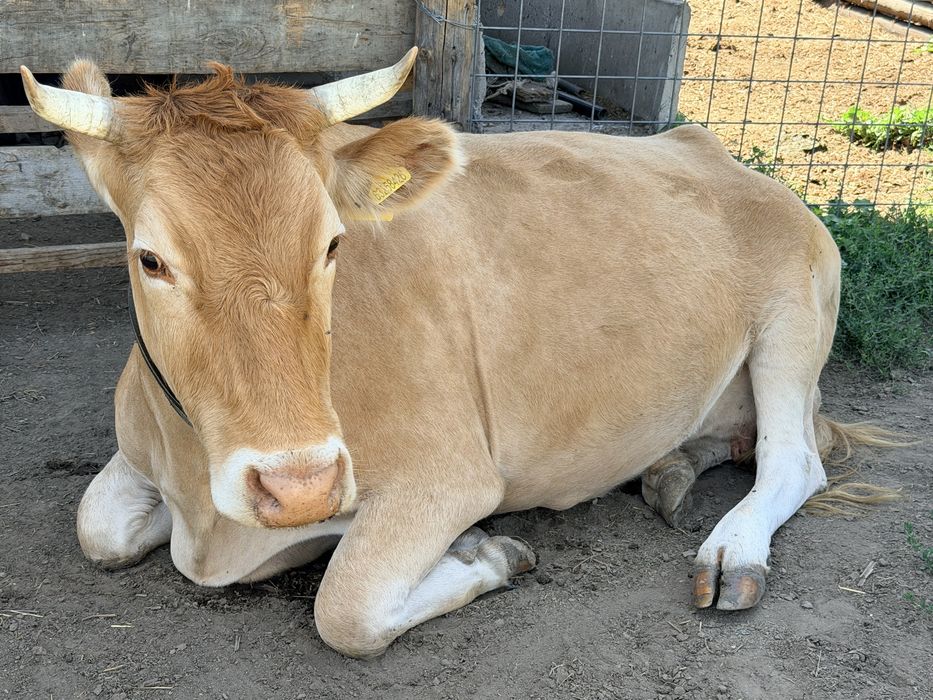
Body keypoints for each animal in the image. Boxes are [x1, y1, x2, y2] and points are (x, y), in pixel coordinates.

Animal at [21, 48, 876, 658]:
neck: (202, 499)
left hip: (792, 317)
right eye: (151, 260)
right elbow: (96, 527)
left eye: (332, 243)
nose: (299, 490)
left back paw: (733, 551)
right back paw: (668, 469)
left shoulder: (449, 476)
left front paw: (484, 556)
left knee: (793, 458)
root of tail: (705, 145)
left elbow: (347, 610)